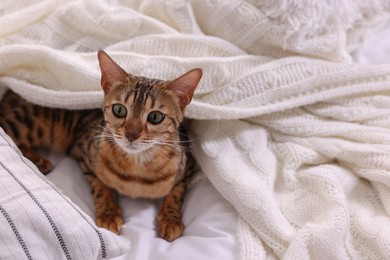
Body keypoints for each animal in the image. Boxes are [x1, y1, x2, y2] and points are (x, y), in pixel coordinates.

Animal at [0, 50, 203, 242]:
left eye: (155, 117)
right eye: (119, 110)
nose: (131, 134)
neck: (137, 170)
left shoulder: (188, 164)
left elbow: (176, 192)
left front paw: (170, 220)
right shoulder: (84, 153)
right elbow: (100, 187)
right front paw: (109, 214)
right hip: (32, 122)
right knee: (7, 131)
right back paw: (39, 161)